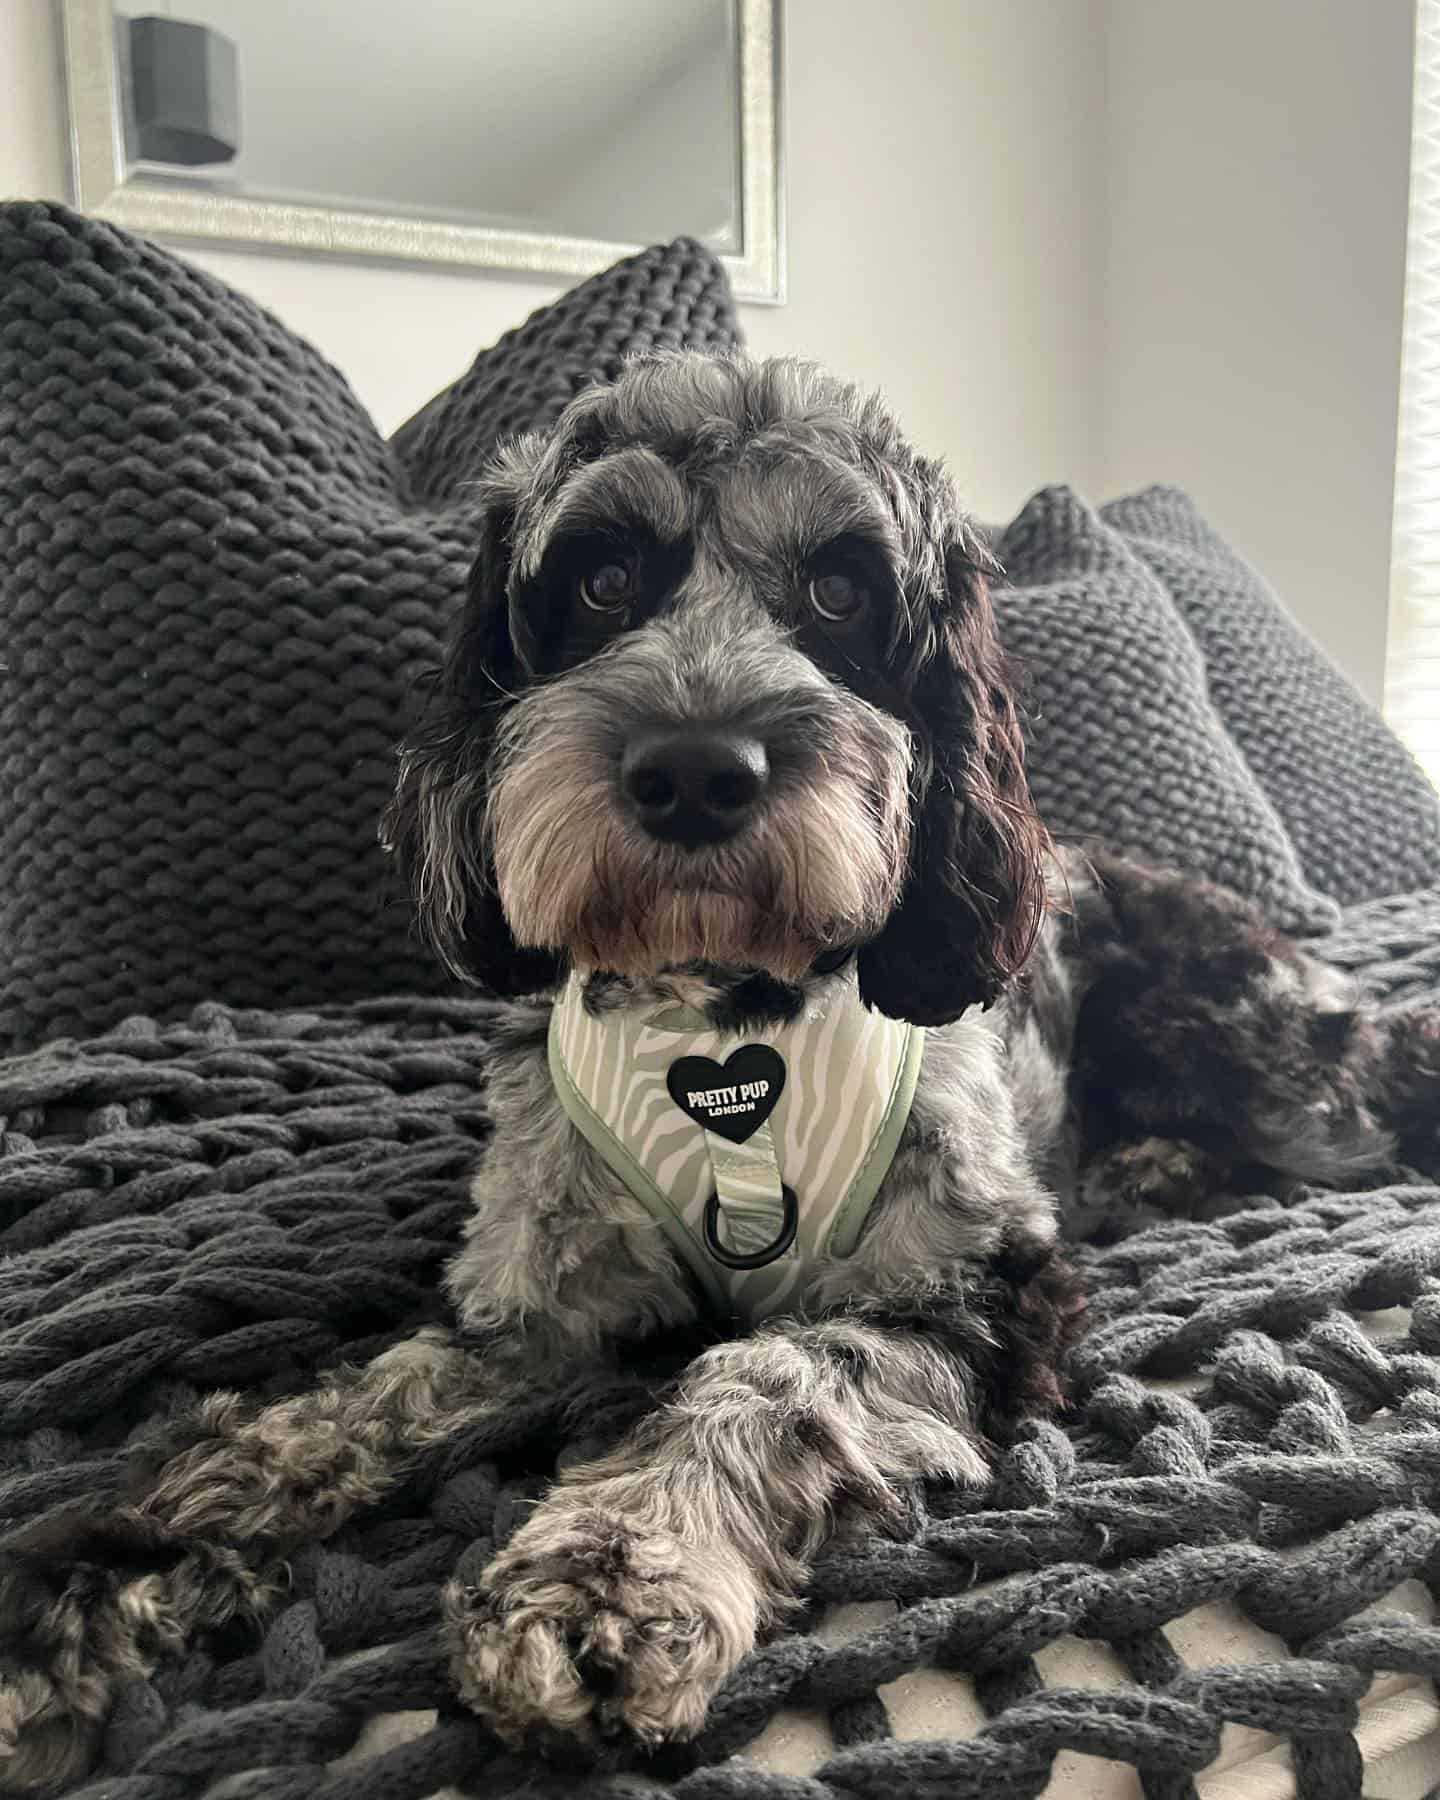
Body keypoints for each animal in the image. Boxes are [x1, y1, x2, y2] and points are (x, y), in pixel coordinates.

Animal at [2, 351, 1440, 1785]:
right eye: (599, 580)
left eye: (843, 589)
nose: (695, 772)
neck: (723, 1018)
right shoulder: (533, 1307)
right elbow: (326, 1418)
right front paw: (94, 1574)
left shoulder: (976, 1285)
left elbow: (765, 1376)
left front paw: (610, 1576)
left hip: (1276, 1068)